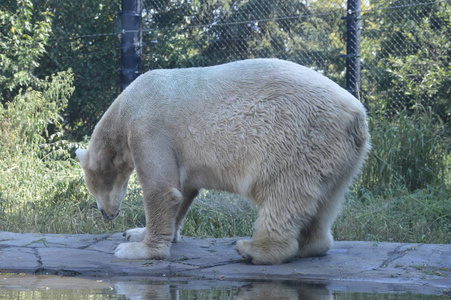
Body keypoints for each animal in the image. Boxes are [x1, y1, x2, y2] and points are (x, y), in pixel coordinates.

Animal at [77, 58, 370, 264]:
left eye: (93, 186)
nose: (106, 214)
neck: (126, 107)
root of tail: (356, 114)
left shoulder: (149, 127)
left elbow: (162, 189)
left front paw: (135, 249)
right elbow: (184, 190)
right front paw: (136, 232)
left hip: (295, 138)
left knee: (283, 193)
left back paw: (254, 249)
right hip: (339, 153)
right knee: (328, 200)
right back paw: (310, 245)